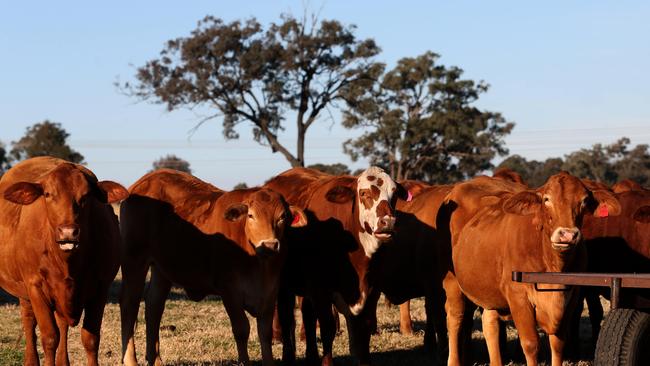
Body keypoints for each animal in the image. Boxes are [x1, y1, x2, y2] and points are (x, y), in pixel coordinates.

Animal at [0, 157, 127, 366]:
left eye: (86, 196)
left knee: (62, 324)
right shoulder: (35, 287)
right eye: (47, 194)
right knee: (29, 321)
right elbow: (50, 338)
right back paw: (31, 360)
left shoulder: (101, 288)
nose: (68, 232)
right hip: (25, 291)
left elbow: (90, 338)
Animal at [119, 170, 306, 366]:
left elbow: (265, 333)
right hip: (134, 260)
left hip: (161, 269)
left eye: (283, 217)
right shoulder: (229, 290)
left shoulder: (270, 292)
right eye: (251, 215)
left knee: (154, 306)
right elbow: (241, 329)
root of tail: (145, 181)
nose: (270, 245)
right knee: (129, 305)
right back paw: (131, 360)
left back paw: (155, 359)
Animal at [264, 167, 404, 364]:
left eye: (395, 193)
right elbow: (327, 328)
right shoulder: (321, 289)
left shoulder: (372, 291)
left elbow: (365, 328)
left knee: (307, 316)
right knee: (287, 318)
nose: (388, 222)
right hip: (285, 286)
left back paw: (311, 356)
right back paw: (288, 357)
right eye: (364, 193)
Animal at [446, 172, 616, 366]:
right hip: (452, 282)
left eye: (584, 200)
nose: (567, 235)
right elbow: (530, 344)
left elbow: (558, 343)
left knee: (490, 325)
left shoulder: (572, 296)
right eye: (547, 199)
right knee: (455, 318)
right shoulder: (518, 297)